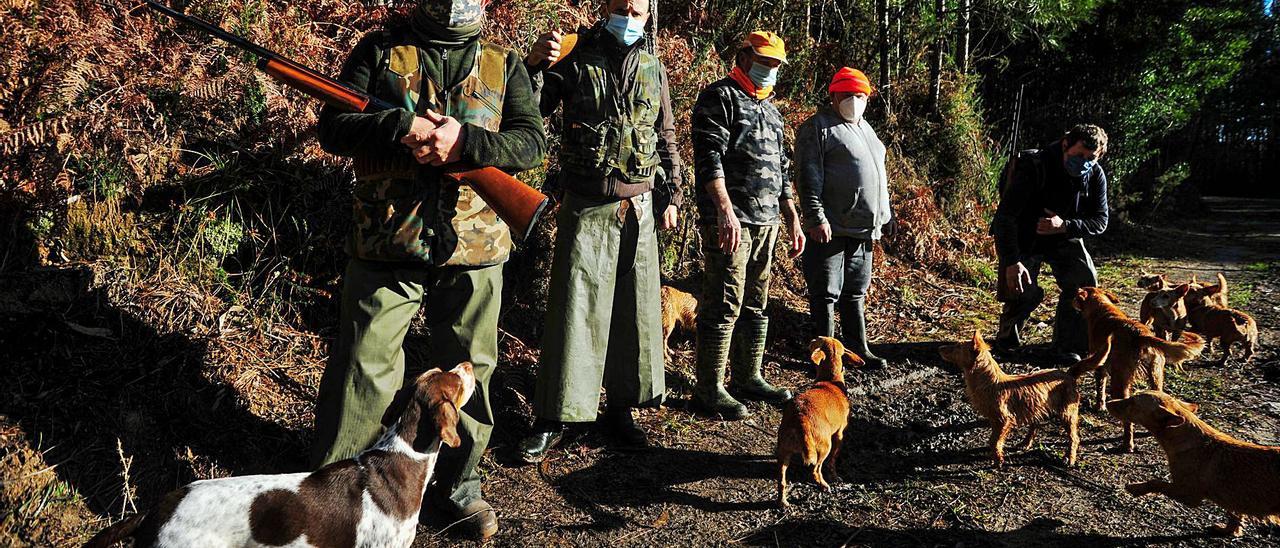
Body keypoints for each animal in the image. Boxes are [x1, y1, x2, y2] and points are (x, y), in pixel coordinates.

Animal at [773, 335, 855, 507]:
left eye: (818, 339)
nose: (813, 338)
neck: (830, 380)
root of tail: (800, 417)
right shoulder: (839, 435)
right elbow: (832, 461)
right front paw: (834, 476)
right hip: (824, 447)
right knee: (815, 471)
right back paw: (824, 485)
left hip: (784, 451)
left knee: (781, 480)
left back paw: (782, 502)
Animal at [942, 332, 1080, 468]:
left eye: (957, 346)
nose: (940, 348)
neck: (990, 382)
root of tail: (1069, 374)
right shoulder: (995, 419)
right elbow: (995, 438)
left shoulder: (1004, 420)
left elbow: (994, 441)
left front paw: (998, 460)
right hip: (1036, 407)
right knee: (1035, 425)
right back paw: (1025, 443)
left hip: (1067, 413)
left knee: (1074, 437)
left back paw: (1069, 458)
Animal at [1075, 284, 1203, 450]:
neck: (1102, 307)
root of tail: (1140, 335)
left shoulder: (1100, 365)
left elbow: (1100, 388)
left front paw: (1099, 406)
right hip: (1156, 377)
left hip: (1120, 382)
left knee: (1127, 418)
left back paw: (1127, 443)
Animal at [1111, 391, 1280, 537]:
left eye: (1133, 401)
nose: (1108, 402)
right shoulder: (1234, 499)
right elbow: (1234, 516)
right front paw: (1229, 531)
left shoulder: (1189, 495)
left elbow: (1156, 482)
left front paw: (1136, 488)